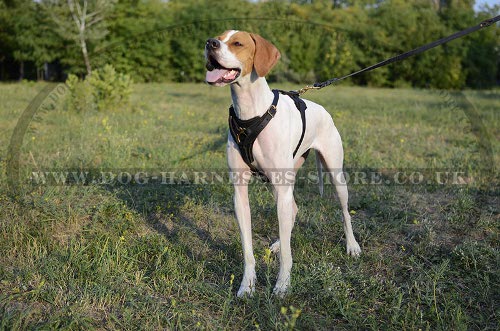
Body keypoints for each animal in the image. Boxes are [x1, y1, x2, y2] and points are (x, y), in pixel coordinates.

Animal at [205, 29, 362, 296]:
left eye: (237, 43)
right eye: (218, 37)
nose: (209, 43)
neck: (250, 112)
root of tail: (323, 109)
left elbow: (288, 255)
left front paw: (282, 284)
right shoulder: (240, 193)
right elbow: (247, 249)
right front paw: (247, 285)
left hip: (335, 175)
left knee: (344, 213)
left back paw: (352, 246)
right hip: (280, 184)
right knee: (292, 211)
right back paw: (280, 242)